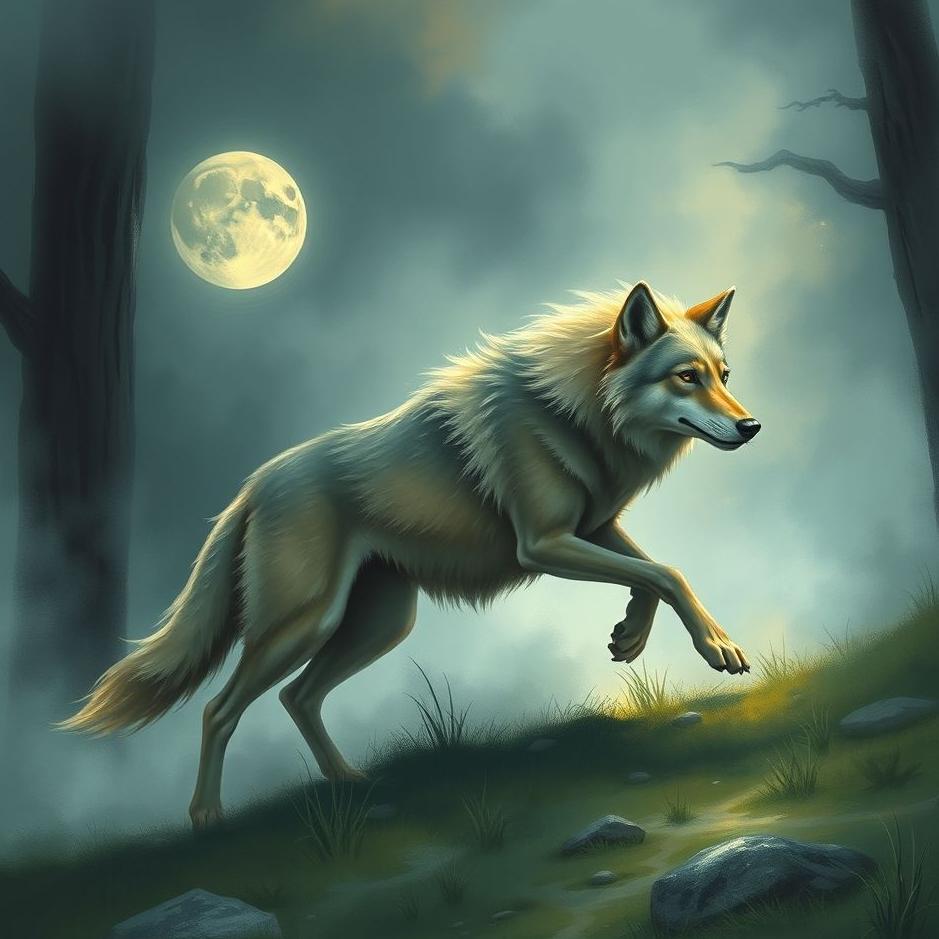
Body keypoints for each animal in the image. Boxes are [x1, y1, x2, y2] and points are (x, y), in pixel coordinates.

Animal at [62, 281, 760, 827]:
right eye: (687, 378)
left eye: (725, 377)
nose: (751, 426)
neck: (575, 410)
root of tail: (253, 487)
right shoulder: (543, 543)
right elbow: (667, 572)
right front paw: (718, 649)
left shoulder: (595, 525)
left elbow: (656, 573)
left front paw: (630, 638)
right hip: (303, 625)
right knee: (218, 709)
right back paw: (207, 817)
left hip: (379, 626)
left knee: (297, 697)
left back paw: (349, 782)